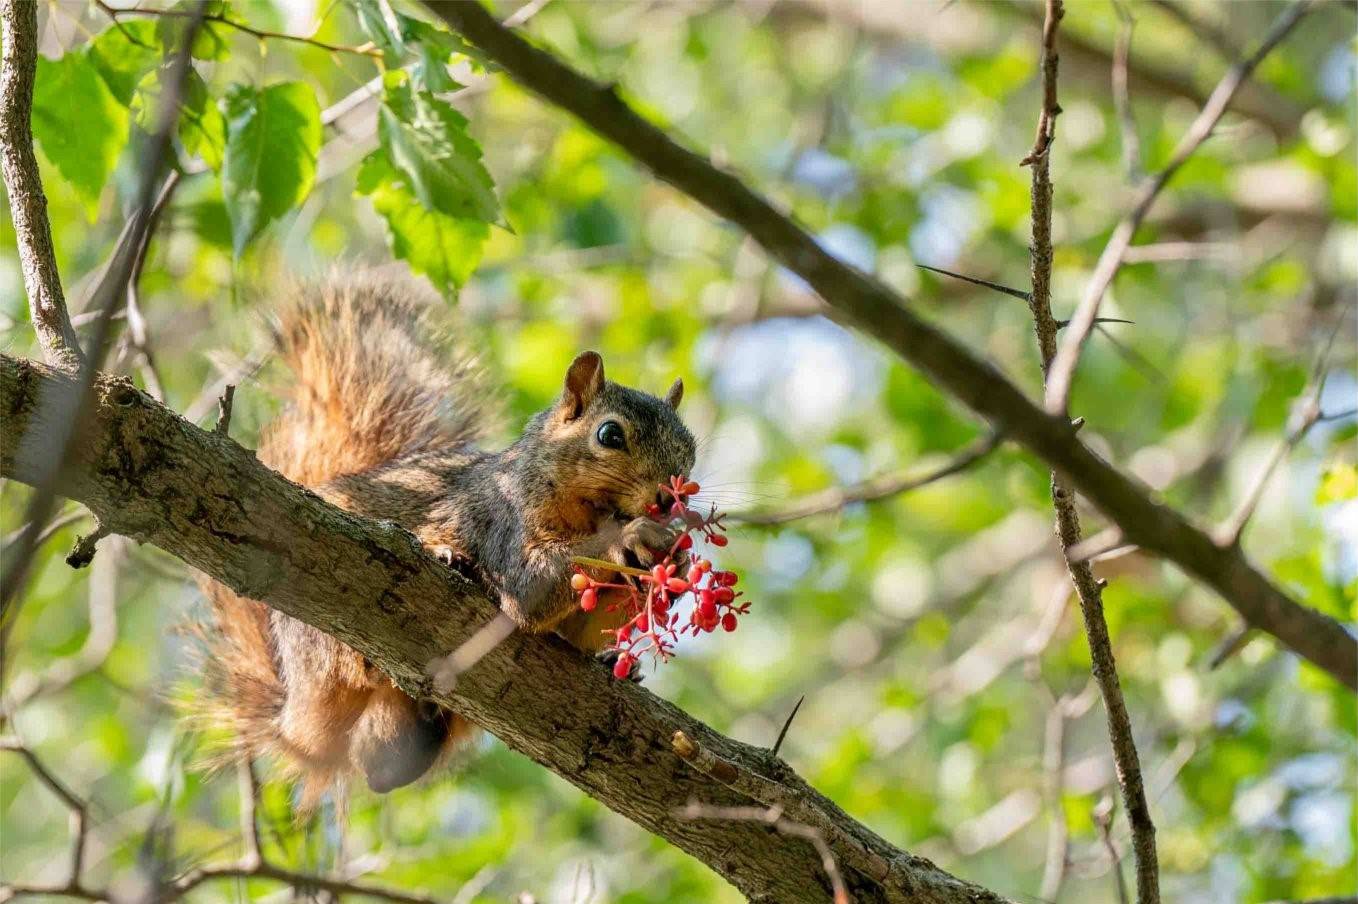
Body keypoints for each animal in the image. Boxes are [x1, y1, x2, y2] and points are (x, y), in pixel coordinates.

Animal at [196, 272, 695, 803]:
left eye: (690, 452)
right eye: (609, 435)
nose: (668, 498)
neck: (590, 514)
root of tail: (296, 717)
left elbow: (580, 628)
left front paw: (671, 567)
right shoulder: (501, 519)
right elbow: (531, 588)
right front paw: (632, 539)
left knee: (381, 765)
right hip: (322, 635)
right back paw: (444, 565)